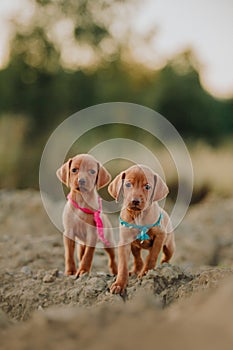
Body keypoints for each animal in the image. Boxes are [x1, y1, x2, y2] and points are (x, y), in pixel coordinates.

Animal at [108, 165, 176, 294]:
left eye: (147, 186)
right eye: (128, 184)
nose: (135, 201)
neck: (138, 216)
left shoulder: (160, 236)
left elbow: (152, 257)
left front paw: (145, 273)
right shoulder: (124, 242)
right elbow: (123, 265)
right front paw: (119, 284)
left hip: (169, 245)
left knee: (165, 256)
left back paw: (164, 265)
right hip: (134, 246)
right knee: (137, 258)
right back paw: (135, 270)